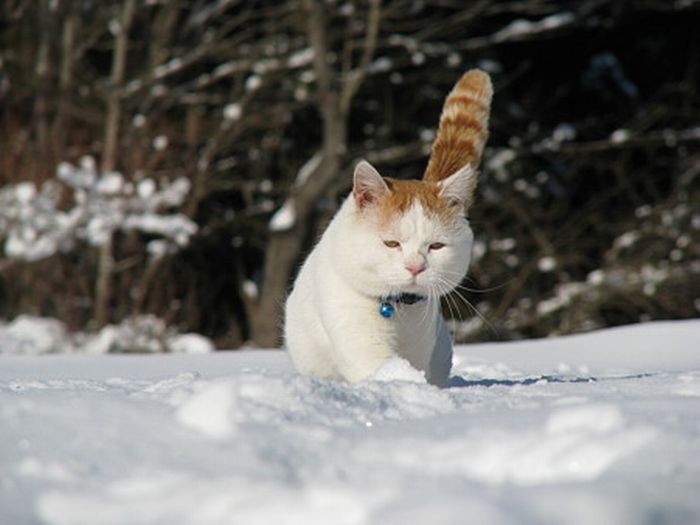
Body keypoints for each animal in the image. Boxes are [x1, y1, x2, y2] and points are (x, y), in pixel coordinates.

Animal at [284, 68, 492, 384]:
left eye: (436, 246)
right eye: (391, 243)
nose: (415, 267)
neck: (396, 309)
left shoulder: (421, 344)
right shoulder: (356, 336)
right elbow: (381, 370)